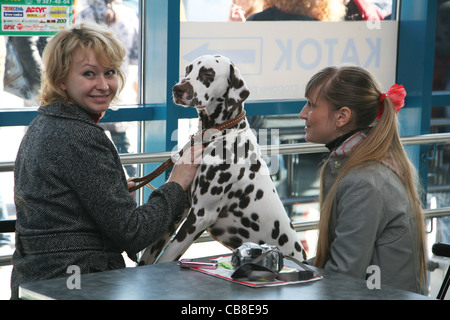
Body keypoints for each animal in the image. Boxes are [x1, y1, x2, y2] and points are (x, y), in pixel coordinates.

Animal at [140, 54, 306, 264]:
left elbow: (166, 258)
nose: (177, 89)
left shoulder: (200, 216)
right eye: (188, 70)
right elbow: (147, 257)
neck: (216, 135)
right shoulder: (179, 208)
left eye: (207, 73)